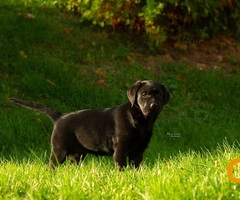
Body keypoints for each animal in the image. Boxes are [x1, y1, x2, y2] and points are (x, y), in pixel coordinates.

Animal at [10, 80, 170, 170]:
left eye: (158, 94)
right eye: (144, 94)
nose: (153, 105)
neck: (141, 120)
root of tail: (60, 117)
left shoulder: (138, 152)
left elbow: (136, 168)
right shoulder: (120, 150)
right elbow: (121, 168)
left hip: (77, 155)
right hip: (59, 150)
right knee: (51, 167)